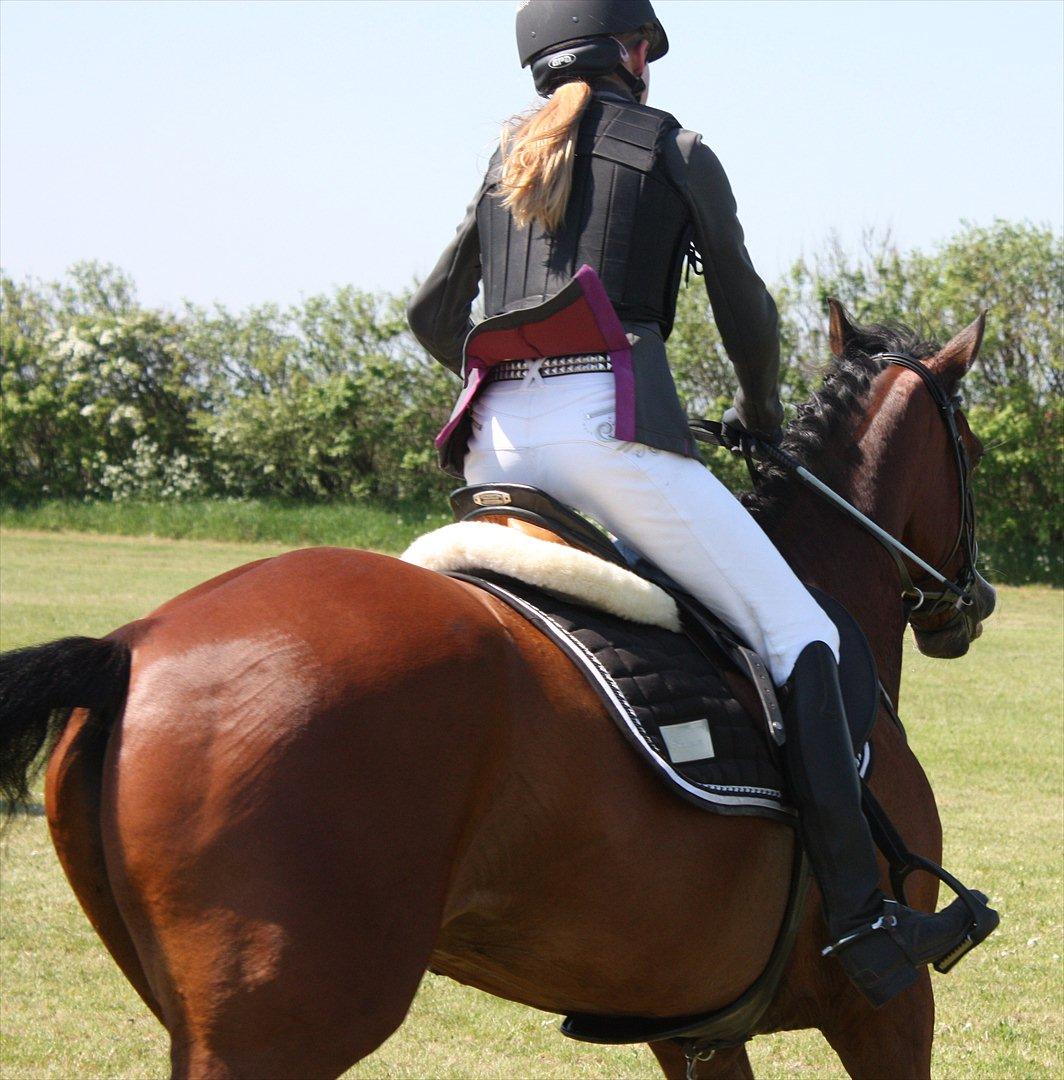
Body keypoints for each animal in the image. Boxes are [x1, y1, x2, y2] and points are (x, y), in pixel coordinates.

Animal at [0, 301, 997, 1080]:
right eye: (976, 450)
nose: (972, 603)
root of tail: (132, 647)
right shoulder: (888, 1010)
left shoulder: (693, 1028)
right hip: (280, 1028)